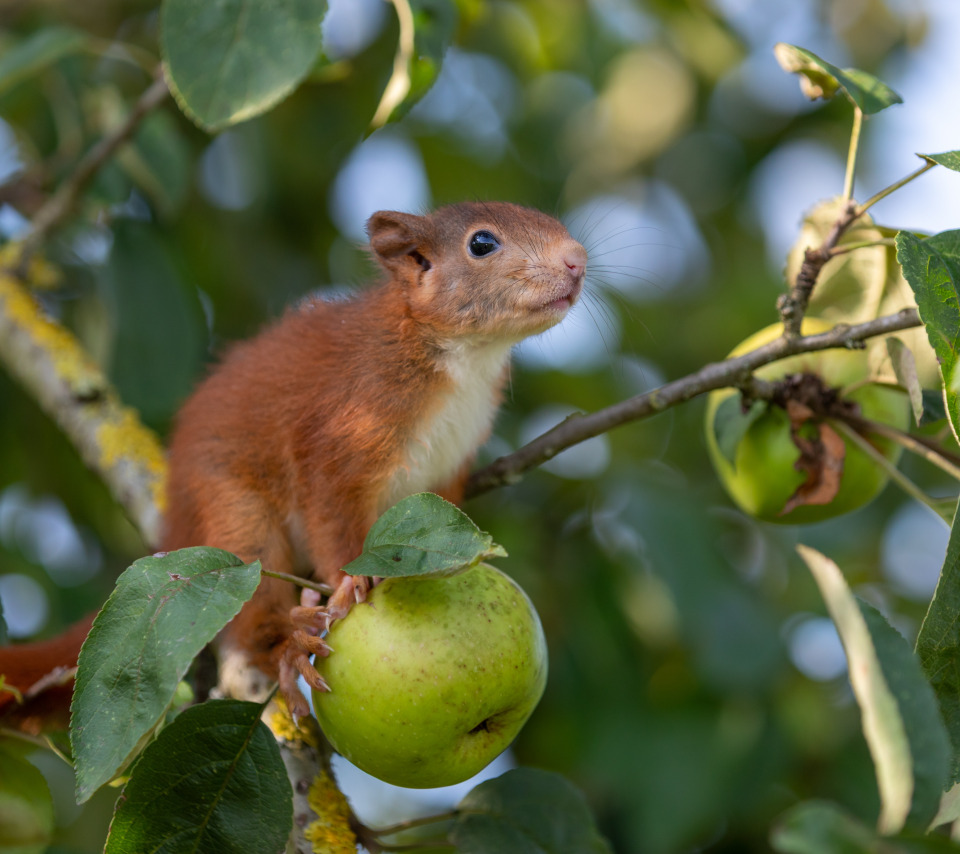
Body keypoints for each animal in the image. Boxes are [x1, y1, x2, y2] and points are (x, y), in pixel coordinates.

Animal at [0, 201, 584, 724]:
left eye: (548, 217)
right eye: (481, 243)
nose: (577, 258)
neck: (464, 356)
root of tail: (174, 524)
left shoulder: (451, 463)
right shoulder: (348, 418)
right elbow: (328, 500)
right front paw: (351, 578)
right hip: (236, 516)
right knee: (251, 596)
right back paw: (285, 645)